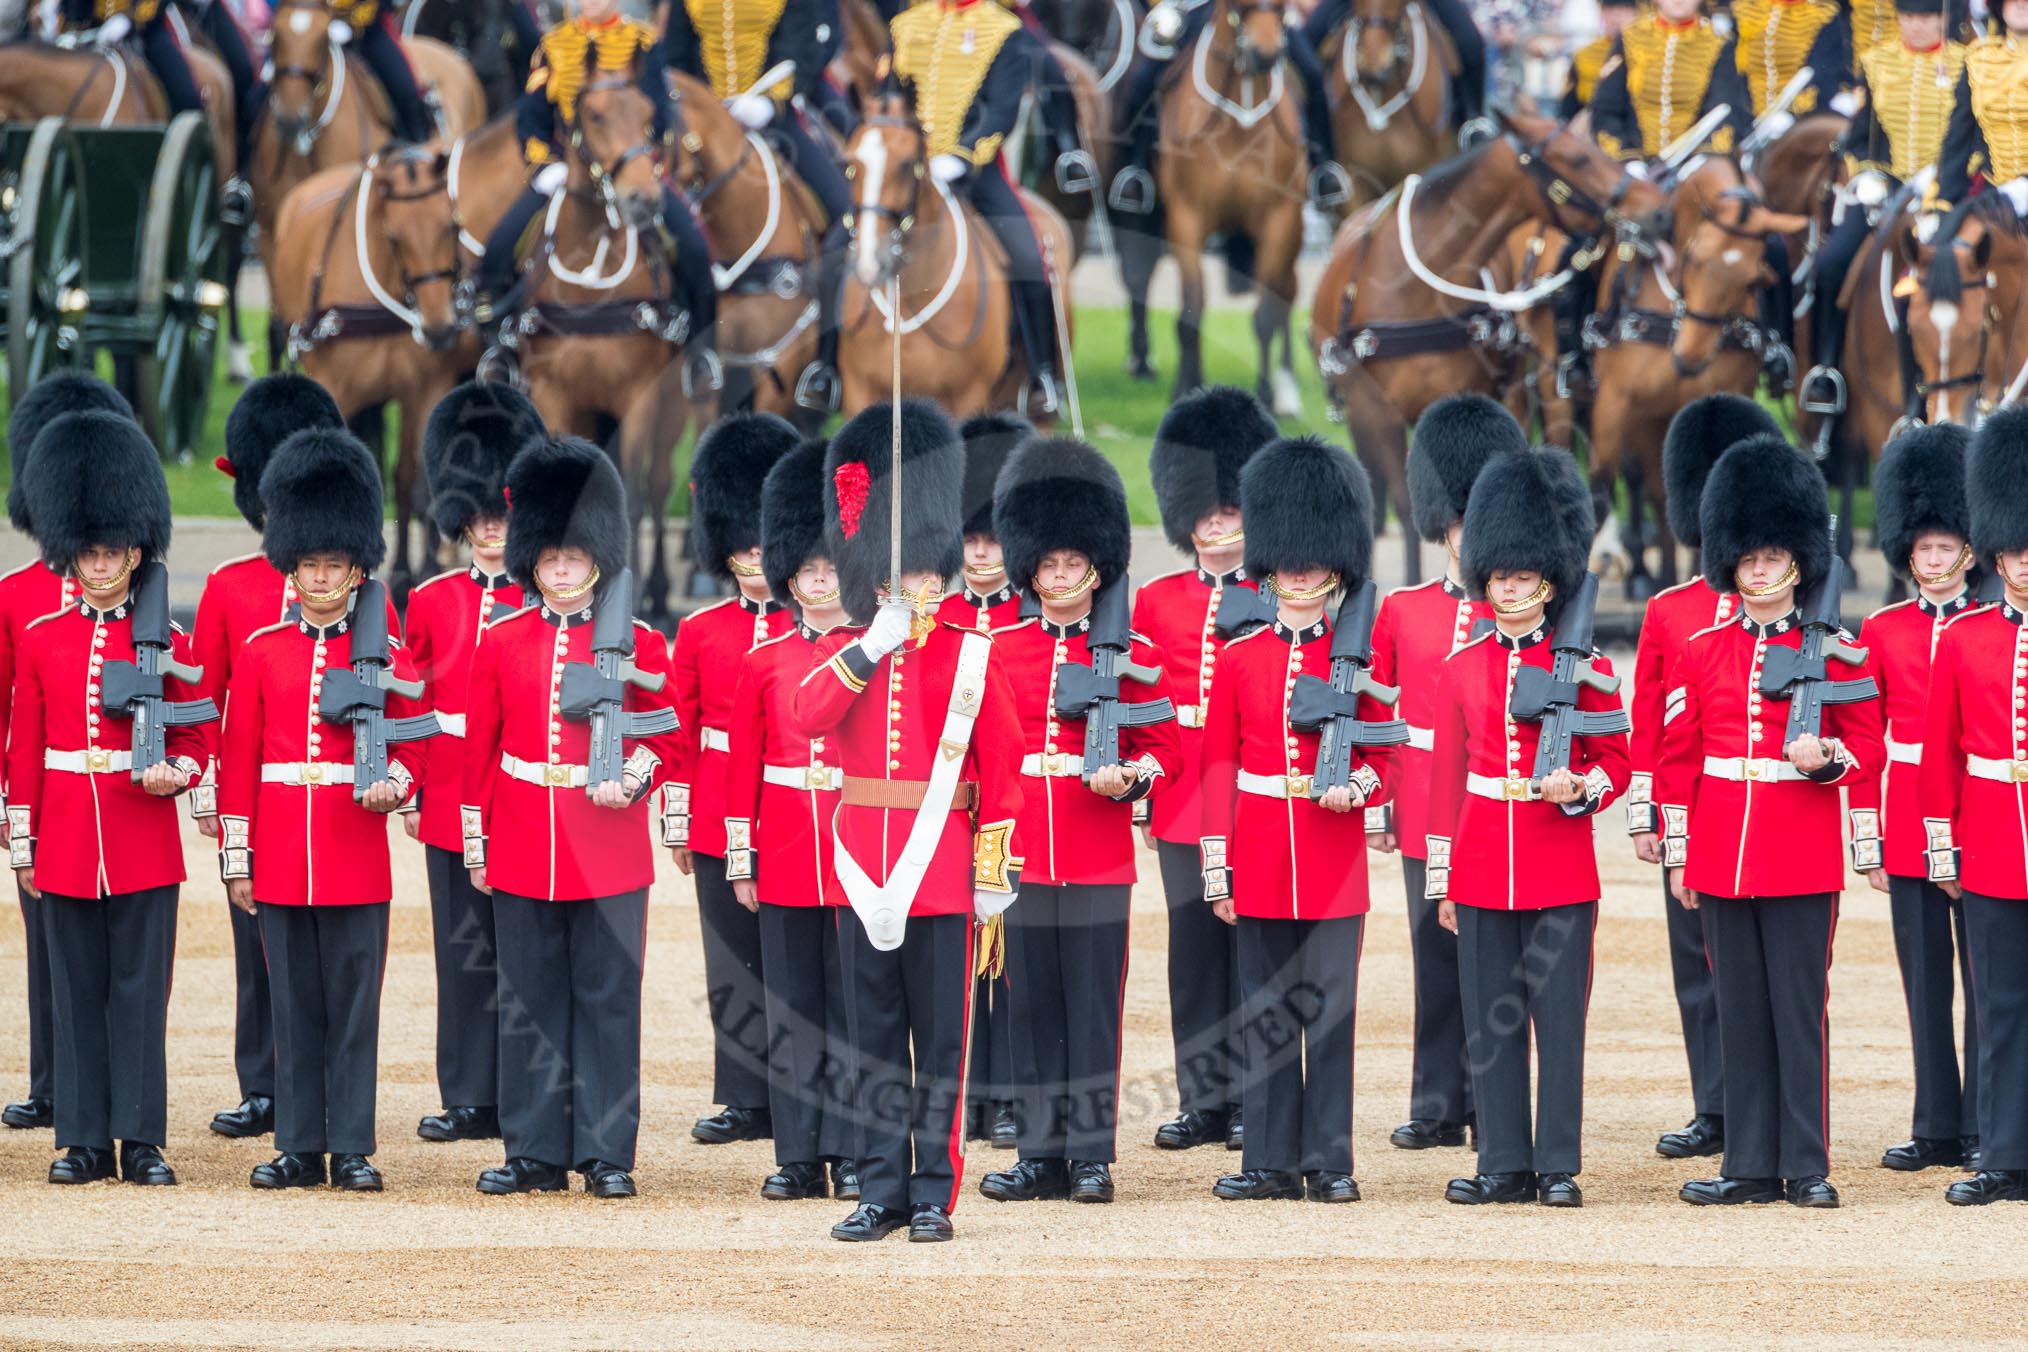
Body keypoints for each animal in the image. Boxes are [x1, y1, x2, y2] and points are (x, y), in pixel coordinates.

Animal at [267, 148, 472, 591]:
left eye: (450, 226)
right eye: (394, 236)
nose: (440, 329)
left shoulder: (424, 391)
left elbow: (411, 480)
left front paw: (413, 571)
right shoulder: (338, 391)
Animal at [835, 88, 1070, 419]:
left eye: (907, 164)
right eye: (849, 166)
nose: (871, 263)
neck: (910, 298)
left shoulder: (967, 398)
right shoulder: (860, 394)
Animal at [1151, 0, 1306, 413]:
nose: (1265, 54)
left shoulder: (1279, 220)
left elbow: (1265, 316)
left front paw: (1266, 395)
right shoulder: (1187, 218)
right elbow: (1191, 311)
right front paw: (1186, 390)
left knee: (1286, 295)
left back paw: (1288, 387)